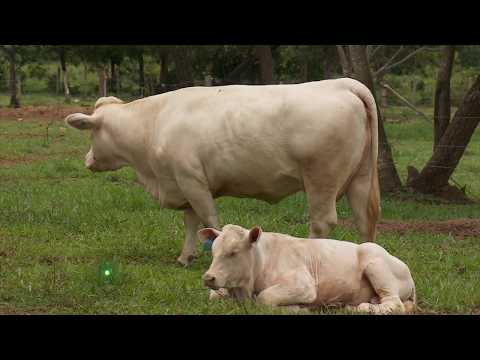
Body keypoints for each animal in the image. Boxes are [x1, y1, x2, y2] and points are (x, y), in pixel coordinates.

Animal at [64, 78, 378, 264]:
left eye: (92, 133)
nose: (87, 160)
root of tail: (340, 83)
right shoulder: (184, 183)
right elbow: (191, 222)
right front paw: (185, 257)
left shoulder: (192, 180)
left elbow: (209, 219)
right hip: (360, 178)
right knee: (364, 219)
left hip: (321, 179)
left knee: (322, 222)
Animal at [199, 225, 416, 316]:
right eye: (213, 251)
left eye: (233, 252)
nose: (209, 277)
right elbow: (213, 296)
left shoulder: (303, 285)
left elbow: (265, 299)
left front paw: (297, 308)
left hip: (375, 262)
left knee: (394, 304)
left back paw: (361, 308)